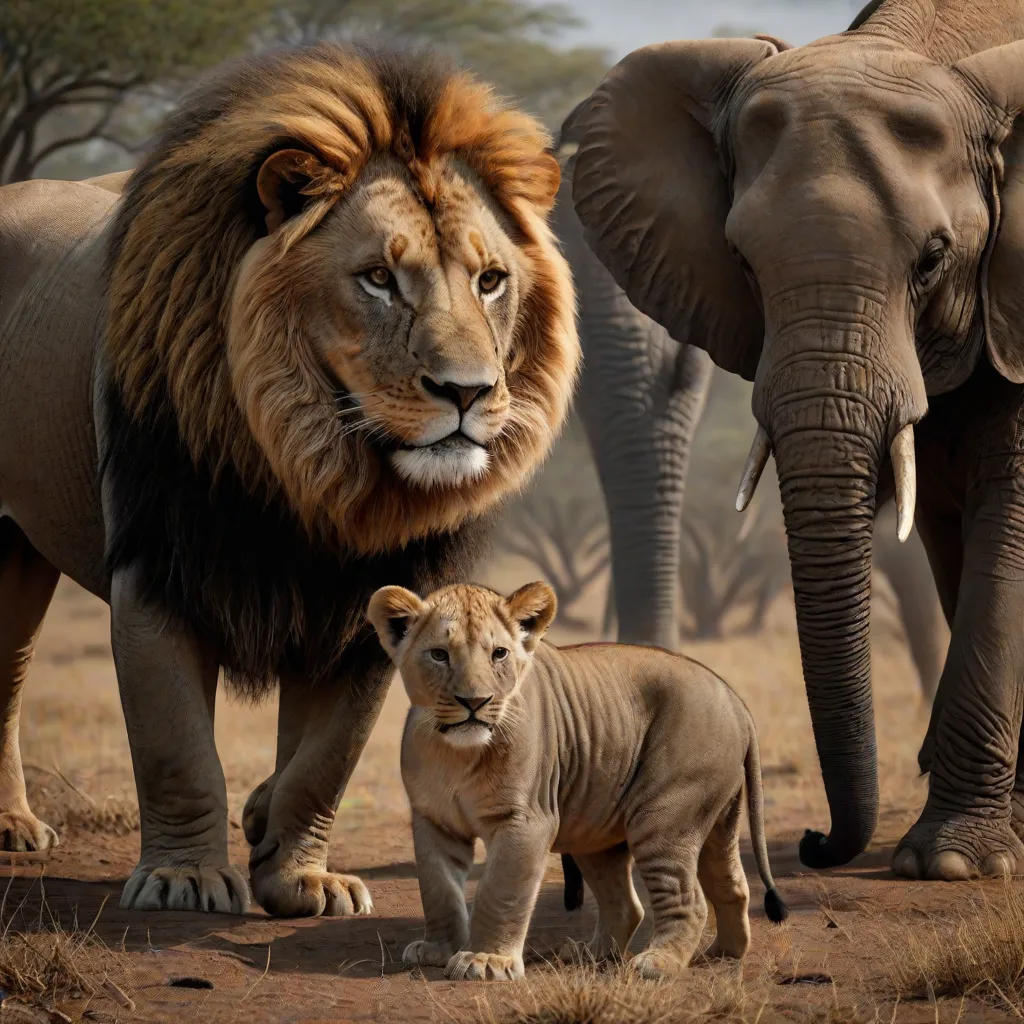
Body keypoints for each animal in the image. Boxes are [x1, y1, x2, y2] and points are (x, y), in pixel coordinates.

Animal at [0, 44, 577, 917]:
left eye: (490, 280)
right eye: (378, 279)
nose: (468, 392)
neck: (315, 471)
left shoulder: (372, 601)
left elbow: (326, 761)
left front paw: (300, 873)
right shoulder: (158, 567)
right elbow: (176, 749)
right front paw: (183, 877)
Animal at [367, 581, 788, 981]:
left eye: (499, 654)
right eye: (439, 654)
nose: (475, 701)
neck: (456, 753)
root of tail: (734, 697)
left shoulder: (526, 820)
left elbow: (500, 891)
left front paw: (486, 960)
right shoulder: (433, 819)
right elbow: (437, 888)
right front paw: (438, 950)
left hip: (665, 817)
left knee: (689, 898)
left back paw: (657, 963)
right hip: (649, 826)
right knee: (708, 889)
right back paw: (707, 954)